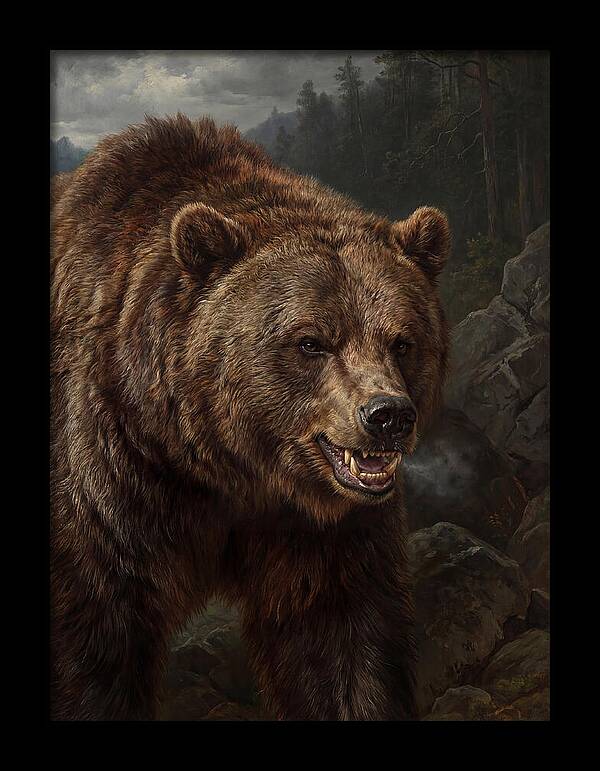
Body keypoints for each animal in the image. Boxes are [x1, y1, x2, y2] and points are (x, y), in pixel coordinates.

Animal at [50, 114, 450, 721]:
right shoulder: (109, 480)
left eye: (402, 341)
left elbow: (342, 645)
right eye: (311, 341)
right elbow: (95, 643)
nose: (387, 416)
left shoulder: (321, 531)